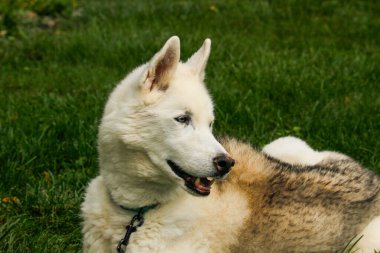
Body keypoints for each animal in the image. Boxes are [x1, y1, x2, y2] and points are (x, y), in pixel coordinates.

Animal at [81, 36, 380, 252]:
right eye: (182, 119)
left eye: (211, 123)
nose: (226, 163)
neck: (135, 213)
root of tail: (371, 177)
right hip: (282, 145)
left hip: (365, 245)